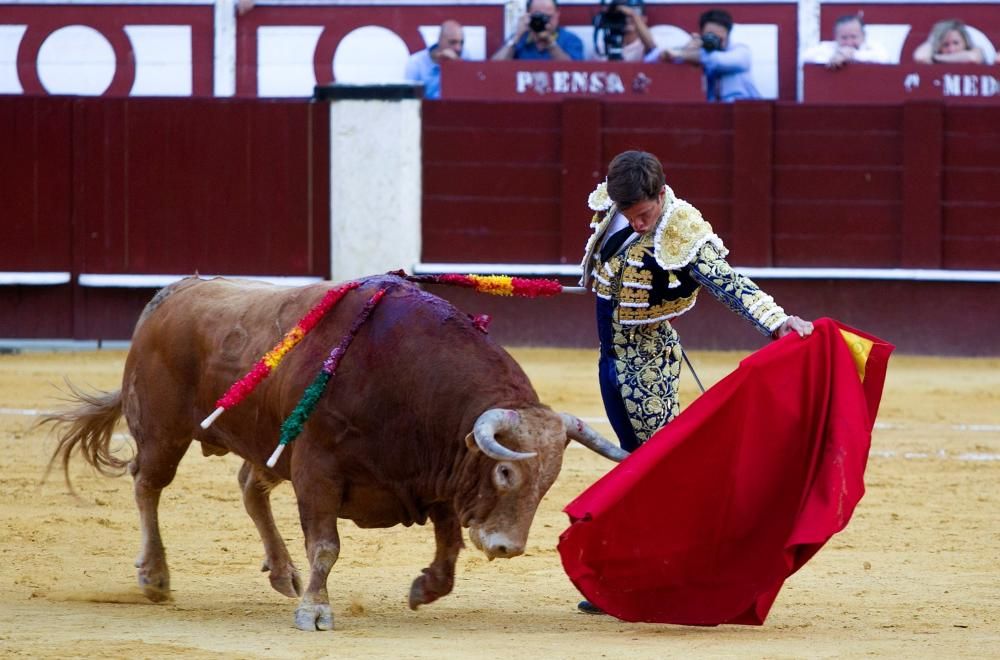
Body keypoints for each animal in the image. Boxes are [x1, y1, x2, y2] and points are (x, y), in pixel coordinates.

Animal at [48, 272, 624, 628]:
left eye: (549, 482)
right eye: (506, 473)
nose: (508, 547)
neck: (407, 380)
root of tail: (169, 295)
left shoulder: (433, 475)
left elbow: (450, 544)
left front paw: (424, 589)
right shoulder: (317, 471)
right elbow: (326, 546)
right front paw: (316, 611)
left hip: (267, 440)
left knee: (248, 487)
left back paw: (281, 572)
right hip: (164, 431)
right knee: (148, 486)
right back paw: (155, 576)